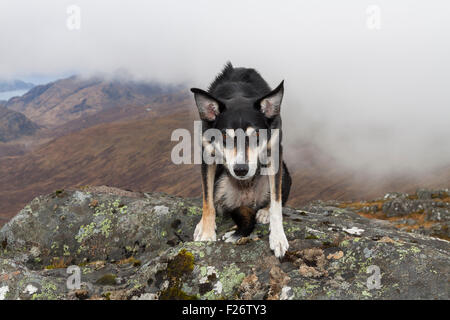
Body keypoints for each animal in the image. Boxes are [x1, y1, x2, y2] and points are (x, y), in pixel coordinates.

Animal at [190, 62, 292, 258]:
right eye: (224, 136)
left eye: (257, 135)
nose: (241, 170)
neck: (238, 93)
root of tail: (247, 202)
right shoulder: (207, 154)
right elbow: (207, 199)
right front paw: (206, 231)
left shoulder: (275, 153)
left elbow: (276, 202)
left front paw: (278, 238)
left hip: (285, 173)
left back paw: (264, 212)